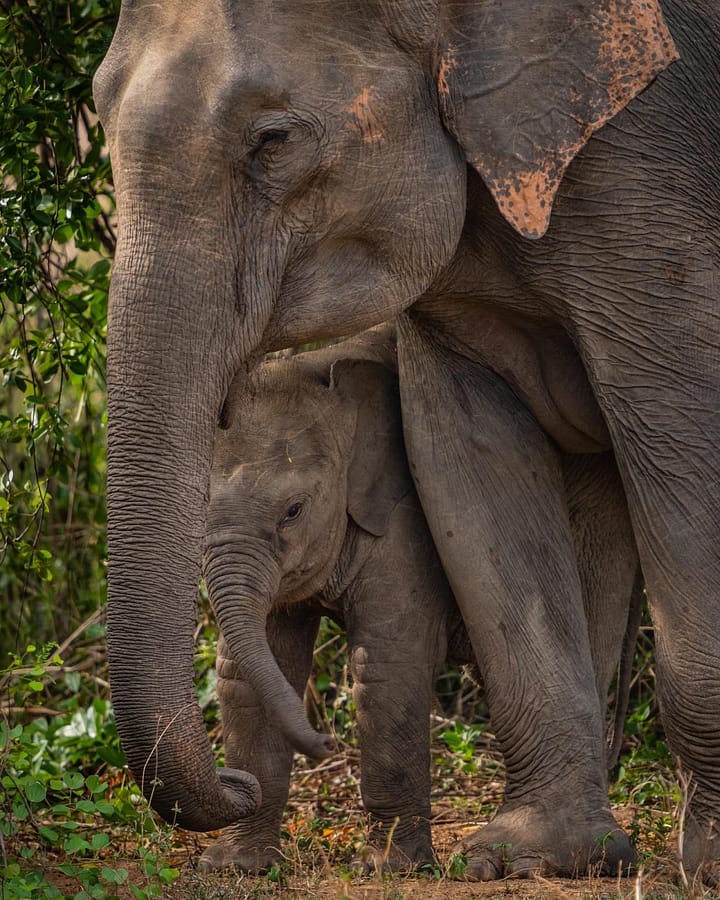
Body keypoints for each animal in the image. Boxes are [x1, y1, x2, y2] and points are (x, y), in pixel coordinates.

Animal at [200, 326, 640, 876]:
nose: (326, 743)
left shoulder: (405, 521)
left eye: (293, 511)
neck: (325, 371)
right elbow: (248, 669)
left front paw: (387, 870)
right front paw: (233, 866)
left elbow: (387, 668)